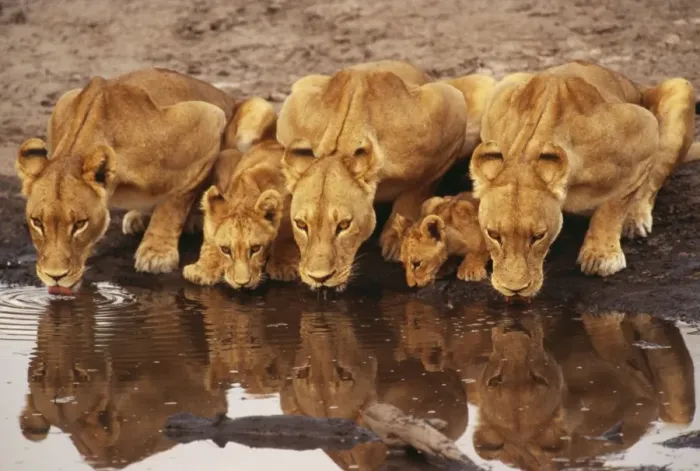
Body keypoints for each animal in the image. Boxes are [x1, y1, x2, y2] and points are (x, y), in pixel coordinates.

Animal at [15, 67, 276, 294]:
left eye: (80, 224)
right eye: (37, 222)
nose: (55, 276)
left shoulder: (207, 120)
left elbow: (174, 201)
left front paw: (156, 254)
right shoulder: (63, 103)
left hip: (257, 109)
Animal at [182, 138, 300, 289]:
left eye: (256, 248)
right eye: (225, 249)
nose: (242, 284)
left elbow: (286, 235)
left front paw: (283, 266)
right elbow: (209, 241)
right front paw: (202, 271)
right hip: (226, 154)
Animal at [277, 60, 496, 291]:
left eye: (344, 225)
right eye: (301, 224)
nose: (319, 277)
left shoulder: (450, 108)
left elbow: (415, 191)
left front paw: (396, 240)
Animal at [469, 61, 698, 299]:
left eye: (538, 236)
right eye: (493, 234)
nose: (514, 289)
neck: (527, 150)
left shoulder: (644, 129)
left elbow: (615, 202)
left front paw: (601, 256)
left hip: (681, 87)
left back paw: (635, 220)